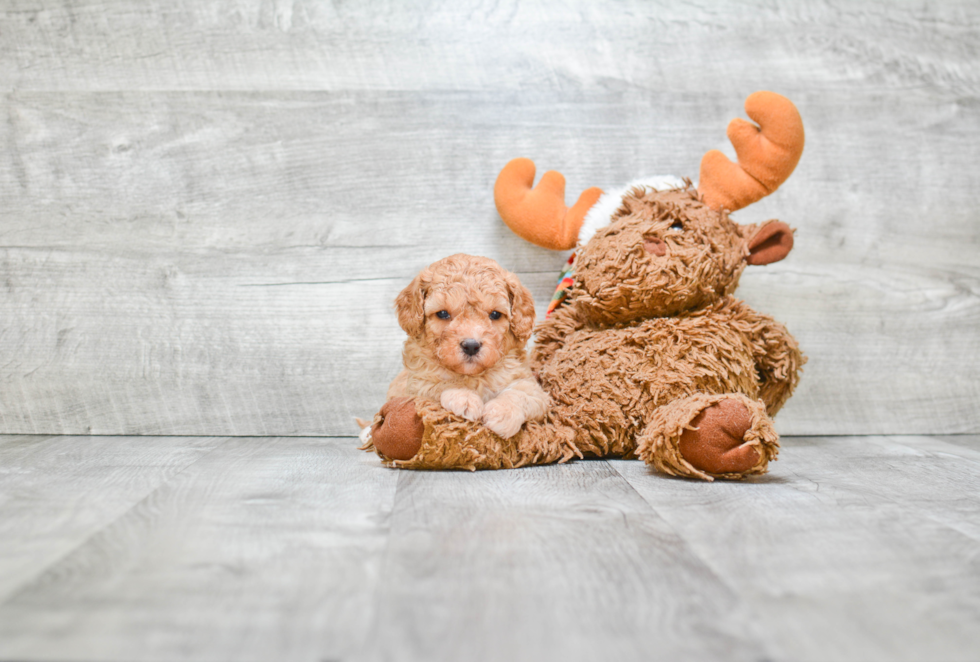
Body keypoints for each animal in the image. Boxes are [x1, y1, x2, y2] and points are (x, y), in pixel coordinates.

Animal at [372, 254, 548, 440]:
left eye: (495, 314)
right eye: (443, 313)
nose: (471, 346)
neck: (474, 375)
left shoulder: (533, 388)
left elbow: (521, 393)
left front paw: (503, 413)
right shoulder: (416, 386)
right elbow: (440, 383)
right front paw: (465, 397)